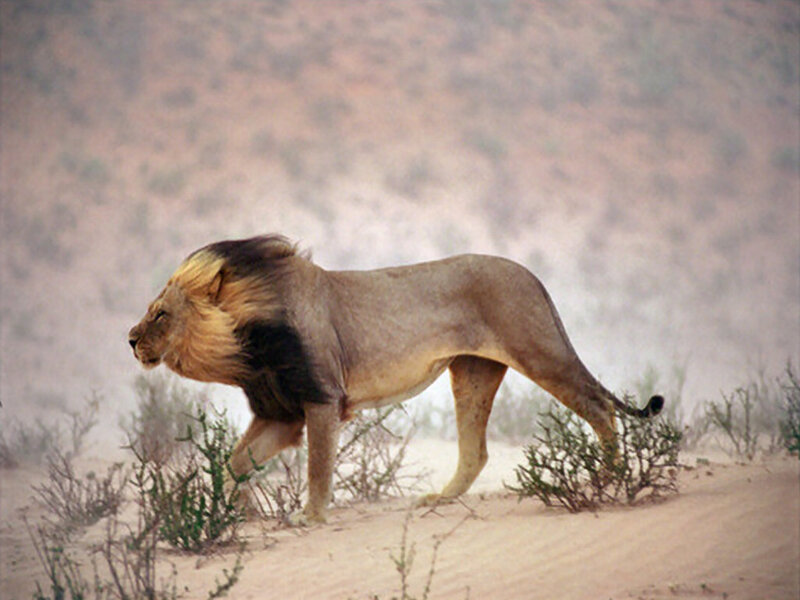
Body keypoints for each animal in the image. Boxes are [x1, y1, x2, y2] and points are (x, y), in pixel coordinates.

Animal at [128, 235, 663, 524]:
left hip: (540, 351)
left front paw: (310, 517)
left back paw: (607, 478)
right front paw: (244, 515)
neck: (245, 344)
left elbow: (318, 468)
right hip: (473, 371)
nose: (130, 339)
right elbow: (237, 462)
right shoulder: (281, 414)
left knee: (600, 407)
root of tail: (531, 275)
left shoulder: (321, 400)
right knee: (477, 451)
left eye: (160, 315)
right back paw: (440, 498)